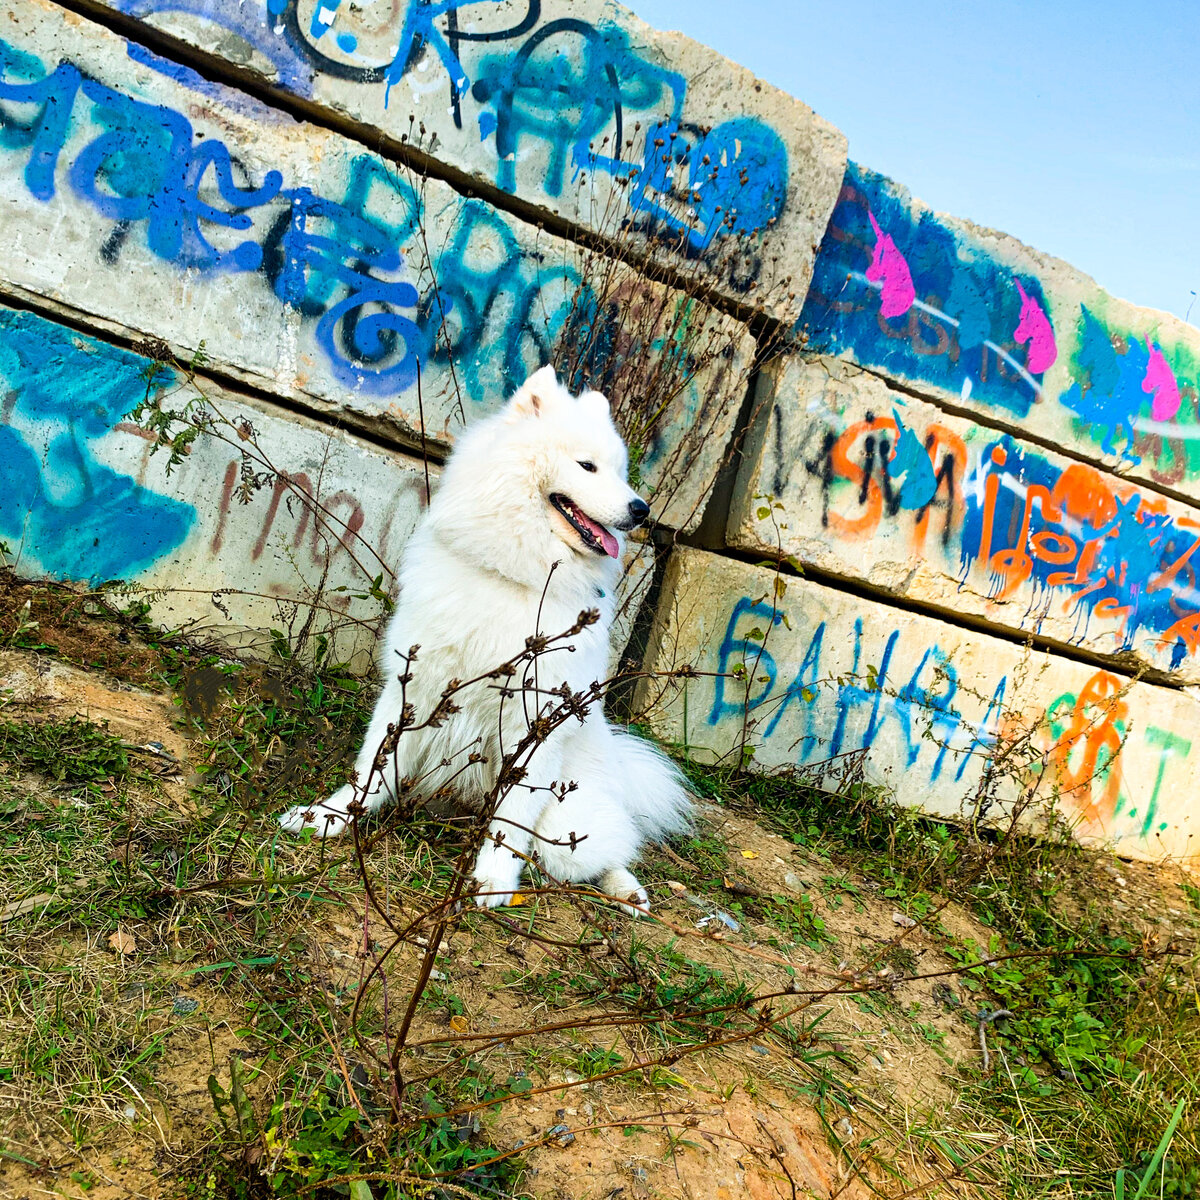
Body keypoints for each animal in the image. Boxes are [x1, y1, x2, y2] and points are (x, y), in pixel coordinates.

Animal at [280, 366, 691, 913]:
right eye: (587, 466)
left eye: (621, 473)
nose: (641, 509)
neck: (515, 574)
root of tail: (619, 767)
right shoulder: (414, 684)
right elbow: (372, 768)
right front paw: (329, 817)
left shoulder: (534, 722)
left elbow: (509, 819)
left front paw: (492, 879)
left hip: (566, 831)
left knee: (605, 851)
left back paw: (628, 891)